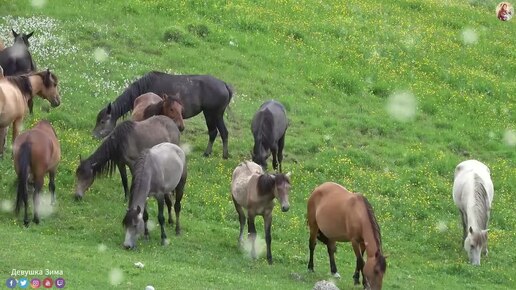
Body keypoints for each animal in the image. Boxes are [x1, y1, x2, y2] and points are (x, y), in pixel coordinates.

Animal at [91, 72, 233, 159]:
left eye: (102, 121)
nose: (94, 135)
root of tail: (224, 85)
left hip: (212, 114)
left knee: (215, 132)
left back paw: (210, 153)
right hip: (216, 115)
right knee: (223, 132)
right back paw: (222, 155)